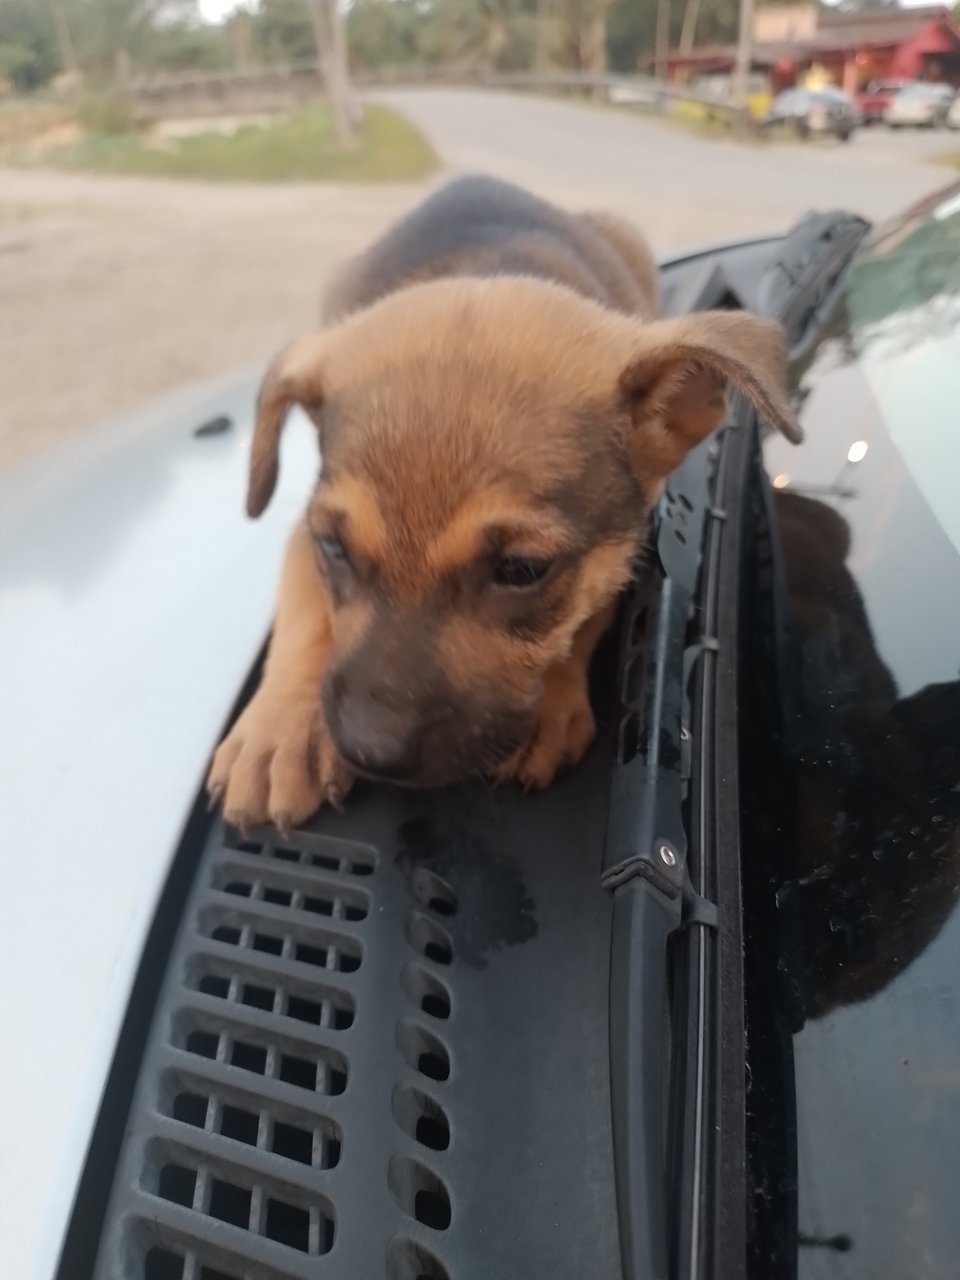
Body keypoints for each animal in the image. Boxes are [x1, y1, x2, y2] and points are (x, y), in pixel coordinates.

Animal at [209, 175, 803, 829]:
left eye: (522, 570)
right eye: (333, 548)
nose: (370, 750)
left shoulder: (620, 552)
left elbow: (581, 624)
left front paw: (551, 707)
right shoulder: (303, 530)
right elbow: (304, 609)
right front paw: (279, 734)